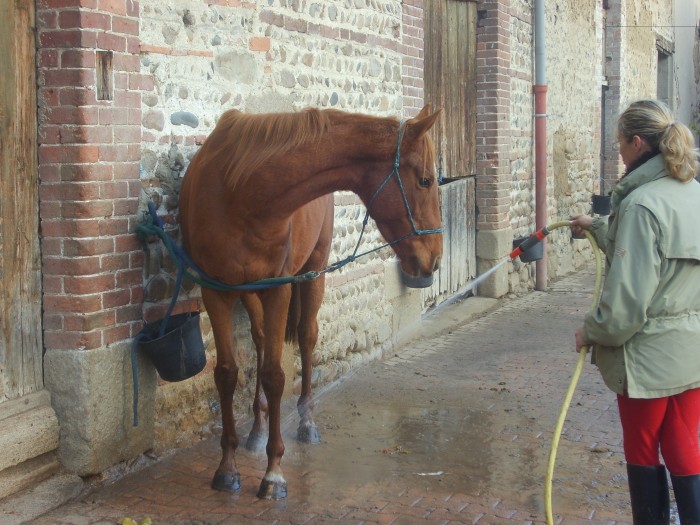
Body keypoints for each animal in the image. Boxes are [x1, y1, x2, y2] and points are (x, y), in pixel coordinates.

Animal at [180, 103, 442, 500]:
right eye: (425, 181)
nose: (435, 259)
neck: (242, 193)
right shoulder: (217, 291)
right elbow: (226, 374)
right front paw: (227, 468)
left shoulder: (280, 289)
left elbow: (275, 375)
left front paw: (274, 473)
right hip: (252, 293)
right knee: (260, 340)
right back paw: (257, 428)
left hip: (313, 275)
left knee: (306, 337)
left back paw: (306, 422)